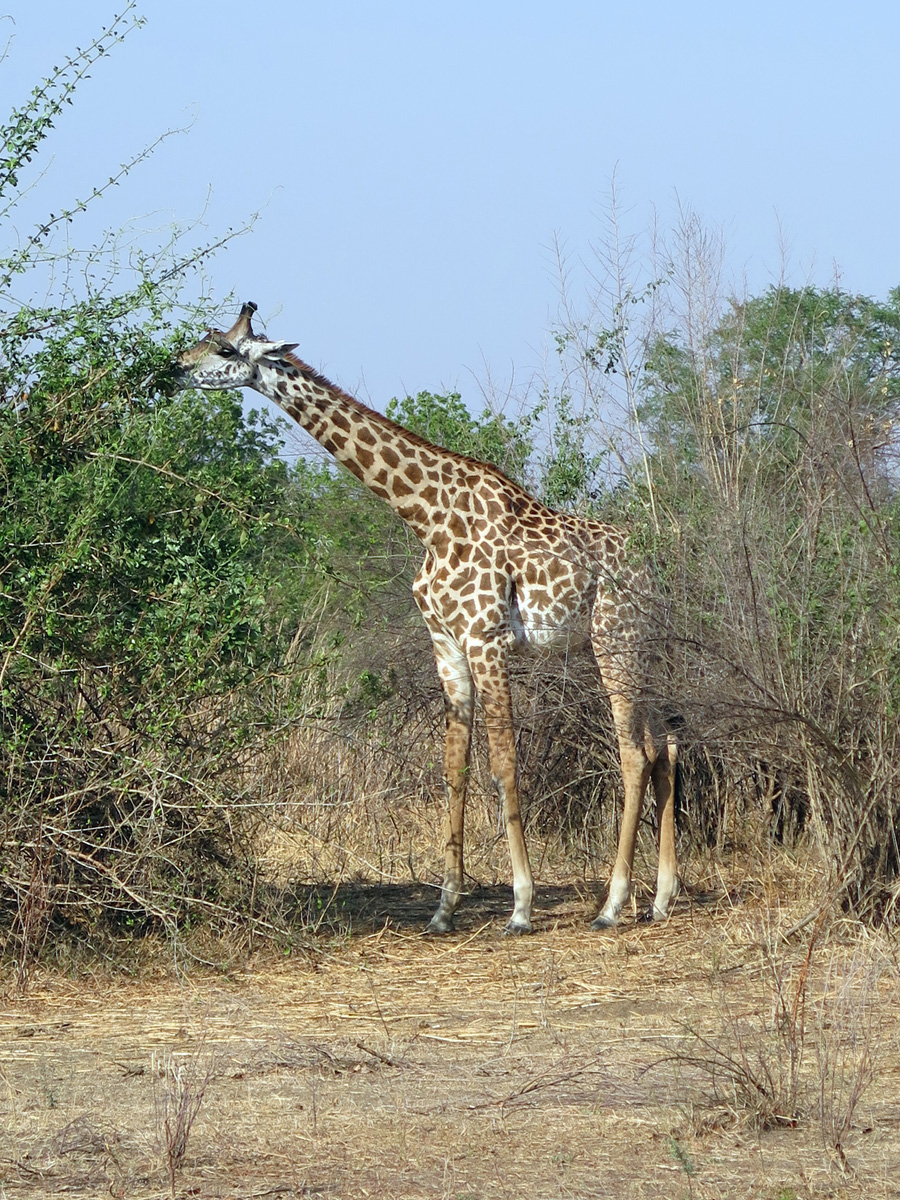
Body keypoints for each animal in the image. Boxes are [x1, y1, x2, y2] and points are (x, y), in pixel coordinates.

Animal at [175, 302, 679, 935]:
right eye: (206, 340)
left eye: (224, 350)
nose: (174, 366)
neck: (425, 515)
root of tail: (659, 569)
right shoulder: (446, 643)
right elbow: (453, 768)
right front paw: (444, 908)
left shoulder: (486, 638)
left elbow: (504, 764)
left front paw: (520, 905)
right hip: (645, 646)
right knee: (666, 748)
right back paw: (661, 899)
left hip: (616, 638)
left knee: (634, 754)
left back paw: (612, 905)